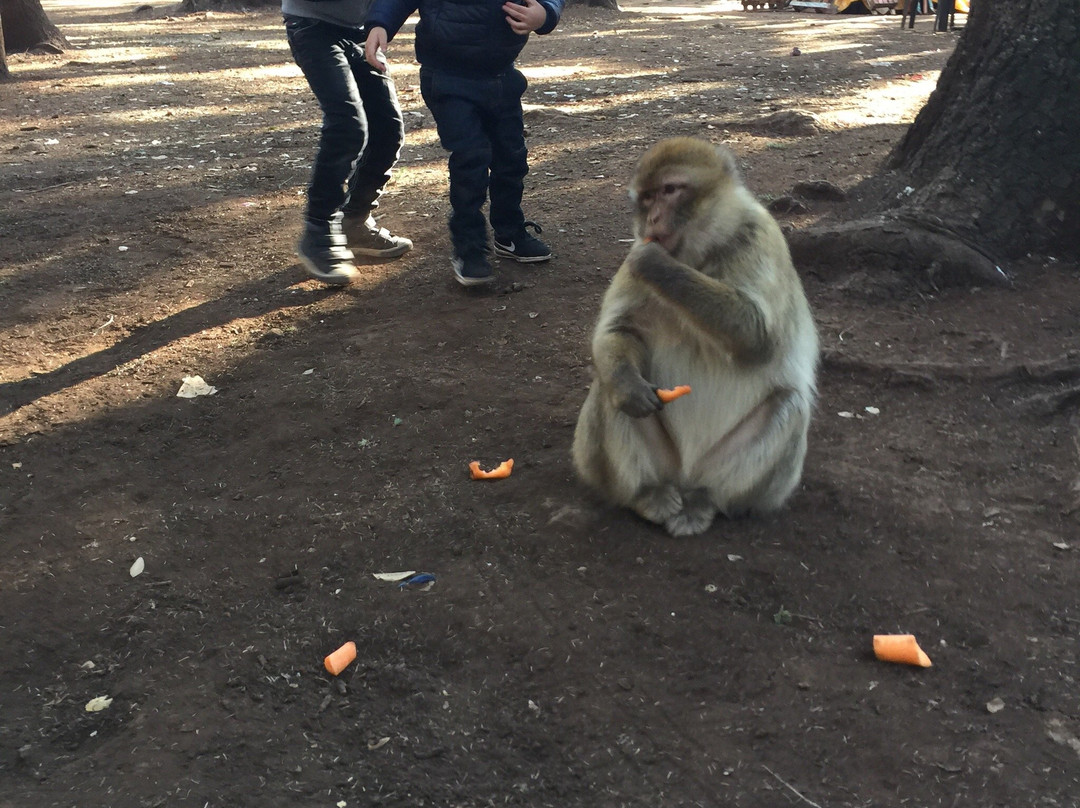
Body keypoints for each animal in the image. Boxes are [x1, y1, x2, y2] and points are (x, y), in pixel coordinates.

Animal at [574, 138, 816, 535]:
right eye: (646, 198)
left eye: (670, 190)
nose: (653, 220)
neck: (699, 254)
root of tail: (684, 476)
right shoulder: (630, 255)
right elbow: (621, 329)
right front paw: (627, 384)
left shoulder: (759, 238)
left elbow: (759, 337)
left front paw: (658, 265)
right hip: (659, 461)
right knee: (606, 389)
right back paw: (647, 494)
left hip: (732, 473)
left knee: (790, 405)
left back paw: (708, 500)